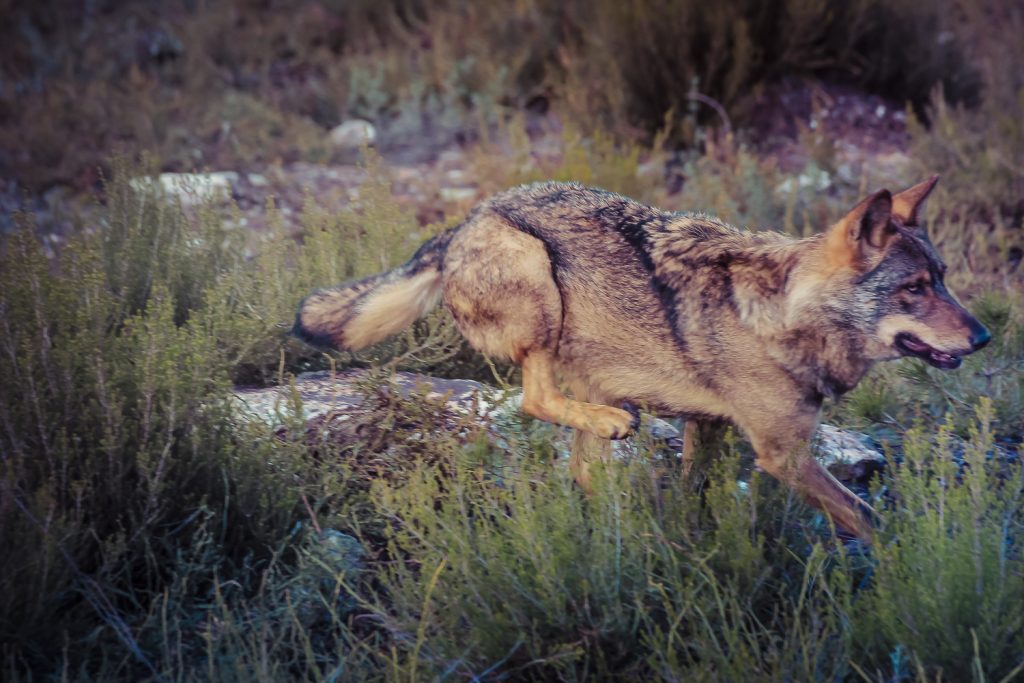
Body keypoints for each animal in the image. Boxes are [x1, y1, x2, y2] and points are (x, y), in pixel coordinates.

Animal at [293, 176, 990, 540]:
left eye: (943, 278)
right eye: (913, 289)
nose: (983, 337)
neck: (781, 316)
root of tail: (460, 225)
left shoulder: (707, 429)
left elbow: (695, 496)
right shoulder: (783, 455)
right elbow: (869, 517)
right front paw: (911, 560)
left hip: (591, 370)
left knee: (580, 467)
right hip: (539, 290)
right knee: (537, 400)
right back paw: (613, 449)